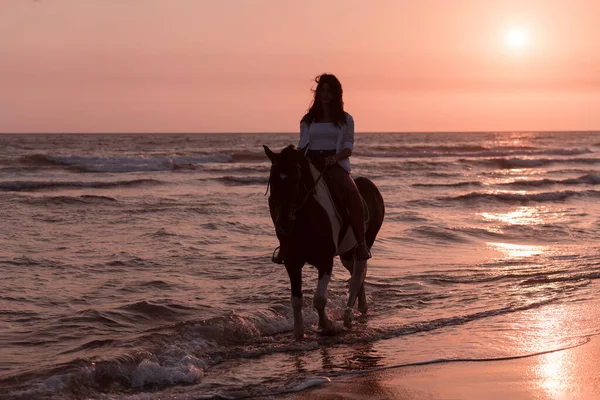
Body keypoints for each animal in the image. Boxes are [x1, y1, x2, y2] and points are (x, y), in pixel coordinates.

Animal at [262, 145, 384, 340]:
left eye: (297, 179)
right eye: (273, 179)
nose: (283, 223)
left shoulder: (325, 261)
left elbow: (319, 299)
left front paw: (326, 326)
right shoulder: (292, 262)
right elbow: (296, 300)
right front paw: (298, 333)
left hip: (364, 242)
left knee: (358, 274)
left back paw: (348, 317)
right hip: (347, 253)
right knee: (356, 273)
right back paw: (361, 308)